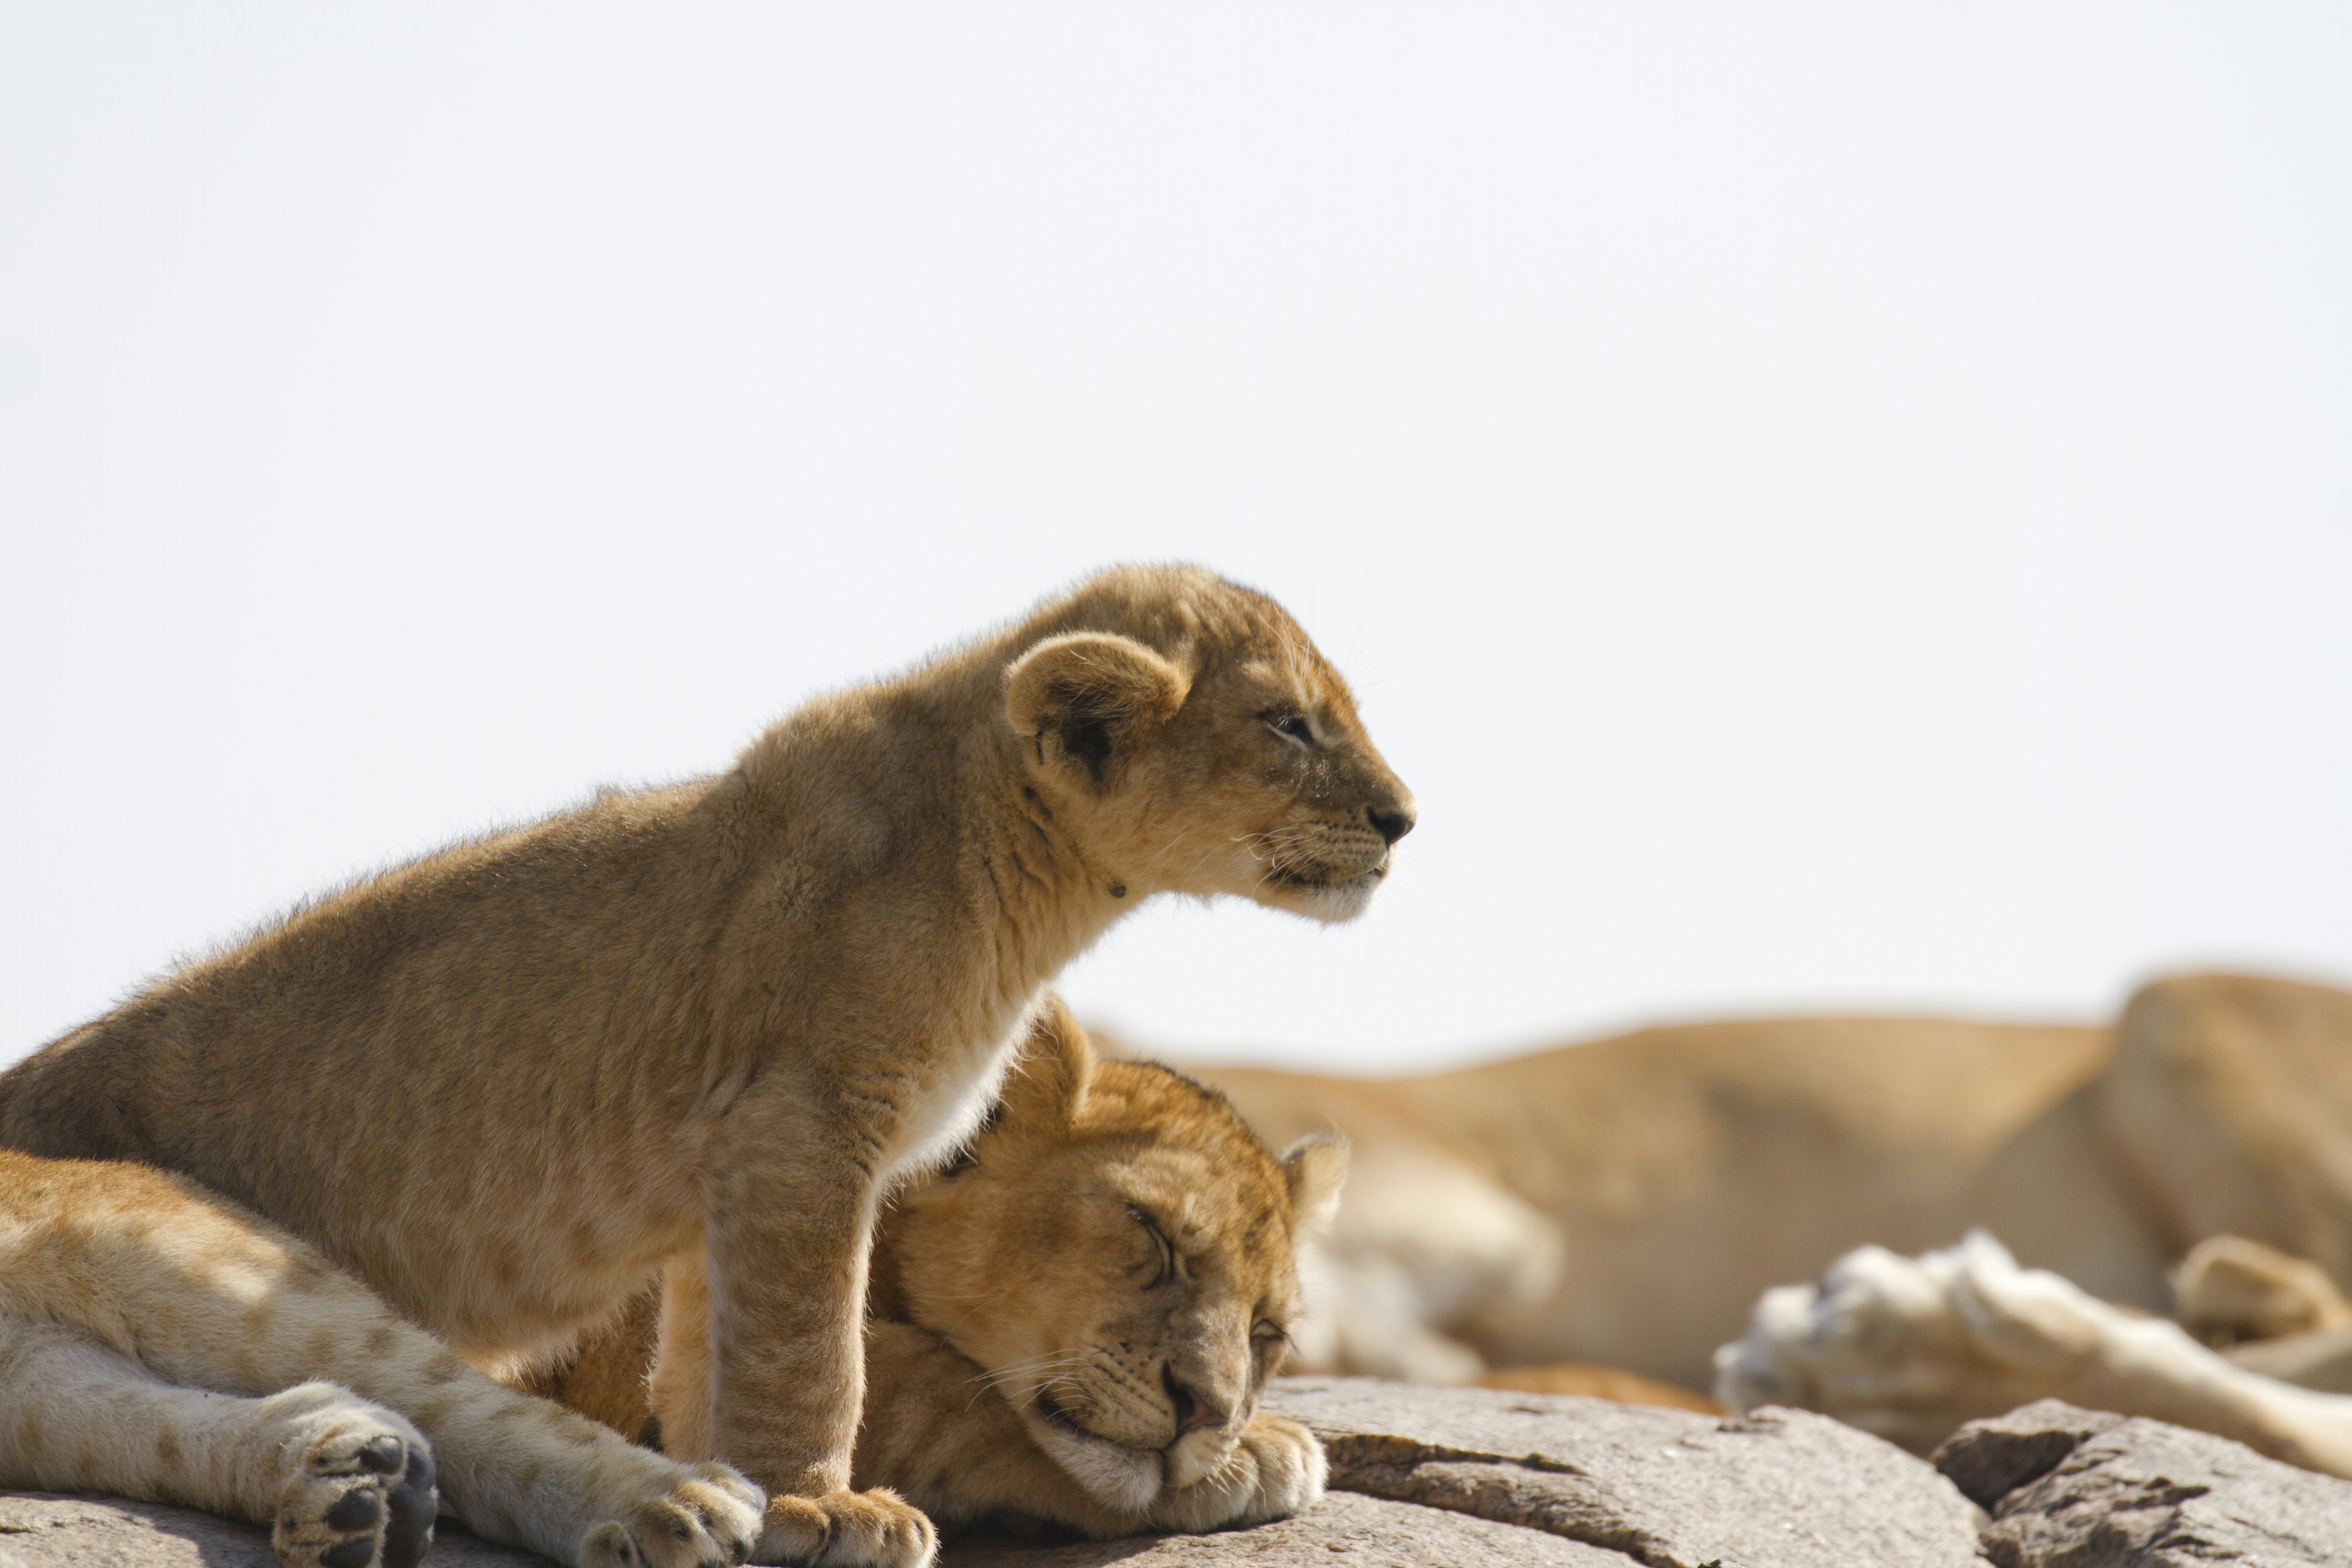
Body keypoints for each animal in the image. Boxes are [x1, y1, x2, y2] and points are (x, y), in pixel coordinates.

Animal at [531, 998, 1346, 1540]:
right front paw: (1266, 1449)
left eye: (1266, 1332)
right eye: (1150, 1229)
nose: (1206, 1412)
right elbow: (941, 1393)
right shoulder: (652, 1371)